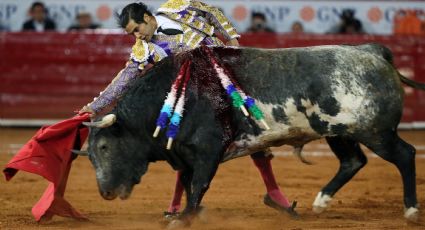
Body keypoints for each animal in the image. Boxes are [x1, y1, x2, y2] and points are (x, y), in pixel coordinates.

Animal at [82, 44, 424, 226]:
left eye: (105, 147)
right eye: (90, 155)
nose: (105, 192)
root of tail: (371, 51)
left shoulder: (208, 151)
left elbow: (198, 185)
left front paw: (186, 217)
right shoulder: (185, 155)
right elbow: (189, 184)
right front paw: (184, 214)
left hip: (375, 131)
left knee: (404, 155)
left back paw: (410, 210)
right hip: (340, 133)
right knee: (353, 162)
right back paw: (319, 203)